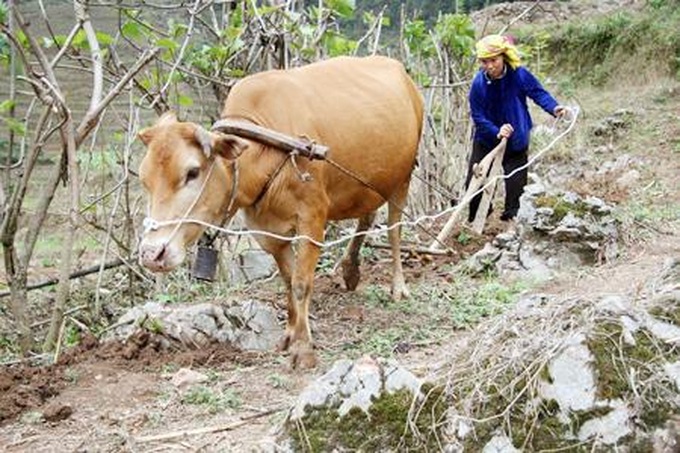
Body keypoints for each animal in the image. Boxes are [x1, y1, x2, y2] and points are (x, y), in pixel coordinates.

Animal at [137, 56, 424, 368]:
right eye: (144, 180)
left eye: (192, 172)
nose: (152, 254)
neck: (266, 151)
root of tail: (402, 74)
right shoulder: (267, 231)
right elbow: (287, 280)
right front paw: (289, 335)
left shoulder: (312, 219)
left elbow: (301, 283)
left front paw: (303, 349)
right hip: (368, 183)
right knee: (367, 215)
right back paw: (350, 270)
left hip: (402, 180)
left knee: (395, 230)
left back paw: (398, 286)